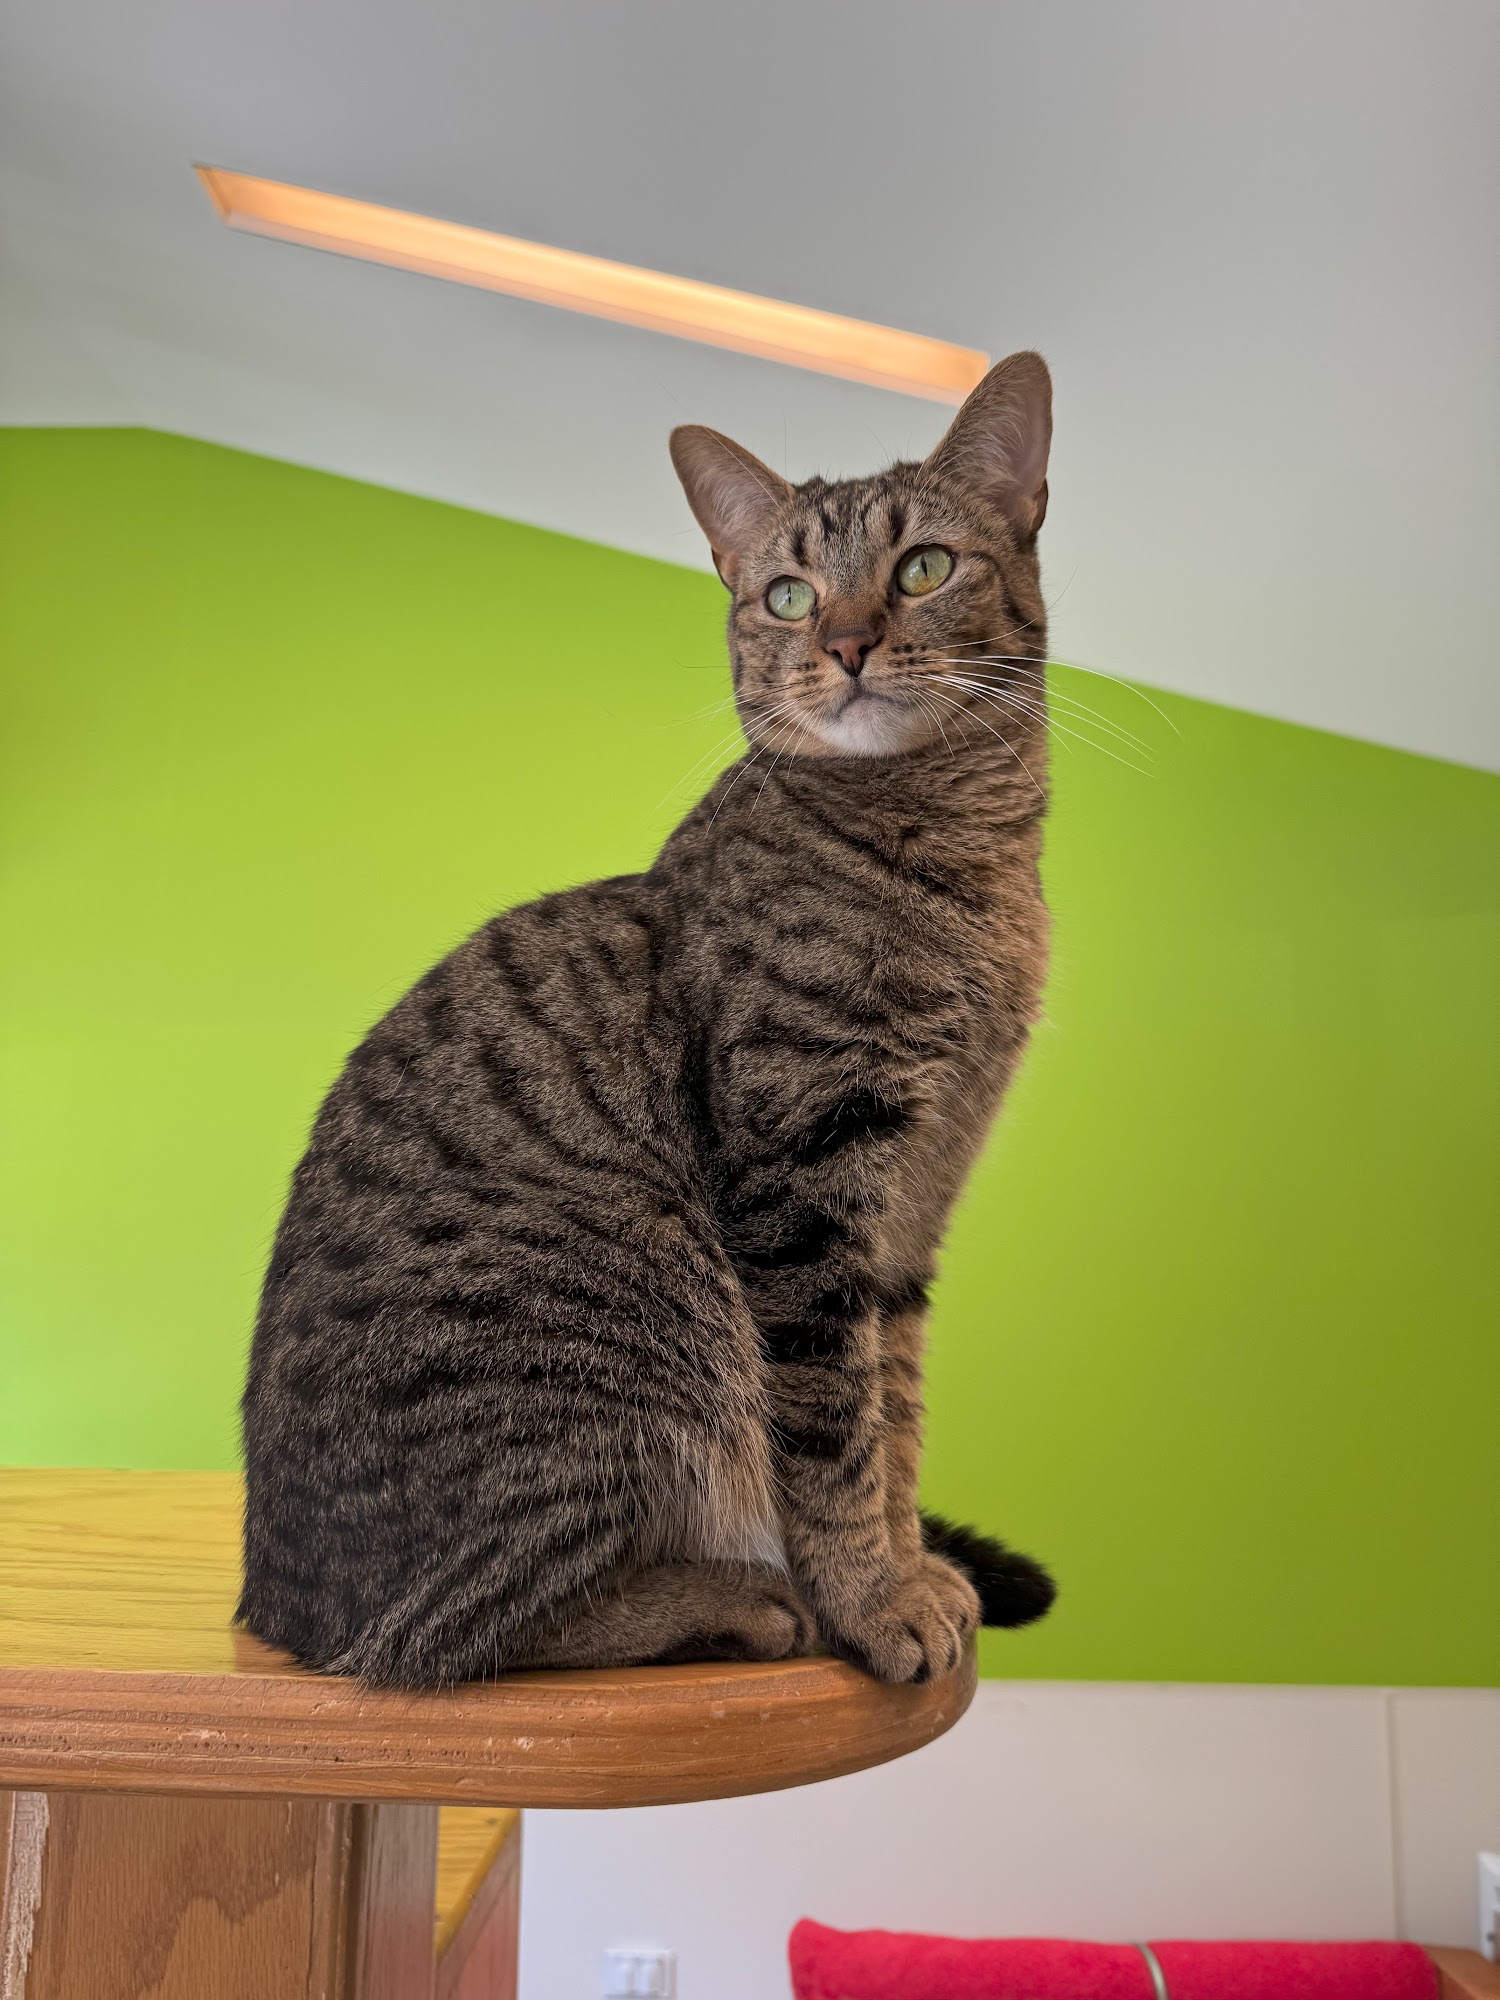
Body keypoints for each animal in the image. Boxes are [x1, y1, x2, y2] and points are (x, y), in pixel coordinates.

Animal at [238, 350, 1058, 1688]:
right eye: (787, 593)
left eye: (923, 567)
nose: (846, 641)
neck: (959, 861)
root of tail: (270, 1605)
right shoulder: (805, 1182)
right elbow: (835, 1438)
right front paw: (869, 1601)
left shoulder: (910, 1207)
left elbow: (897, 1415)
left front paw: (911, 1568)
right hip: (642, 1323)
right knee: (441, 1638)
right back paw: (742, 1598)